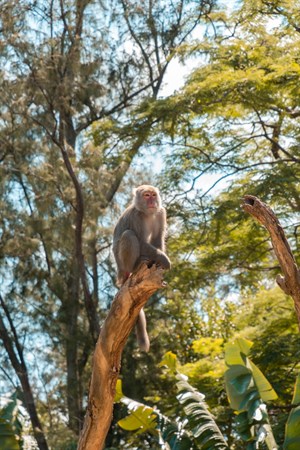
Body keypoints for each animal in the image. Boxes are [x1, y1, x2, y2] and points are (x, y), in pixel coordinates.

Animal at [112, 185, 171, 352]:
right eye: (146, 195)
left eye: (153, 195)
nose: (151, 201)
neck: (147, 213)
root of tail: (121, 273)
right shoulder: (136, 216)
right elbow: (141, 241)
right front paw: (164, 259)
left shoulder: (161, 213)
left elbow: (157, 239)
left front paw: (160, 262)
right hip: (122, 264)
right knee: (128, 235)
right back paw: (137, 264)